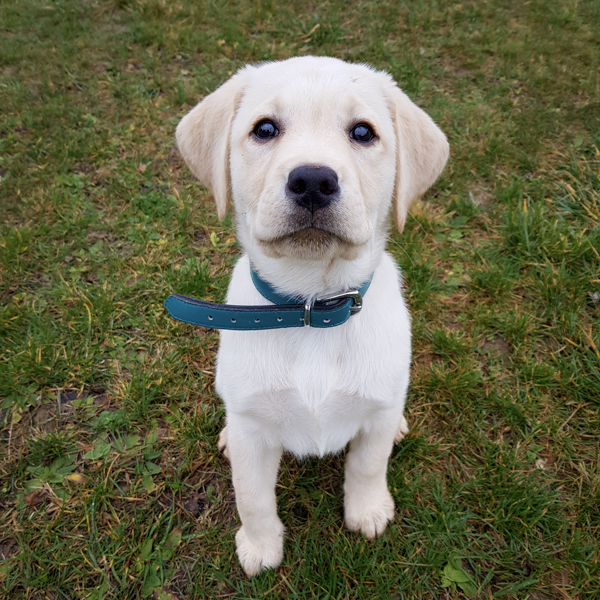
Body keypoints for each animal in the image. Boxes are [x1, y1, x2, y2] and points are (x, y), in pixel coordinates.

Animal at [172, 57, 446, 576]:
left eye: (362, 132)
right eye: (264, 129)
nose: (314, 181)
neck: (311, 308)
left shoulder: (375, 408)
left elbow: (368, 465)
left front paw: (368, 511)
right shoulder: (253, 427)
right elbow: (252, 496)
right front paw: (260, 547)